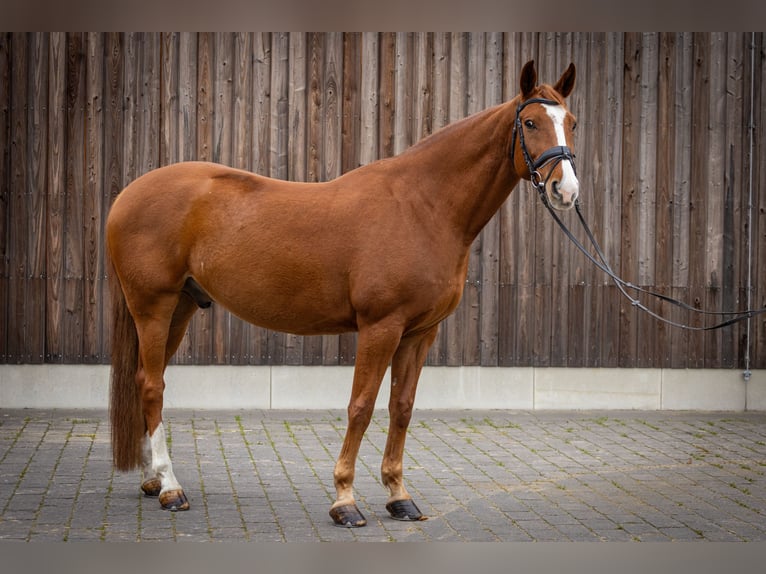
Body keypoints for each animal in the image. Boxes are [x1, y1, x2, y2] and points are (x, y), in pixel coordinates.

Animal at [105, 60, 580, 528]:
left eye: (572, 122)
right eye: (531, 122)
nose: (566, 190)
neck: (422, 207)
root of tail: (127, 194)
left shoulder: (419, 333)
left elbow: (402, 407)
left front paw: (399, 496)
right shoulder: (380, 327)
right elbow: (361, 406)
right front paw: (345, 499)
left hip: (182, 307)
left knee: (146, 381)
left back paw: (152, 480)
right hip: (153, 307)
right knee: (152, 385)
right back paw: (170, 488)